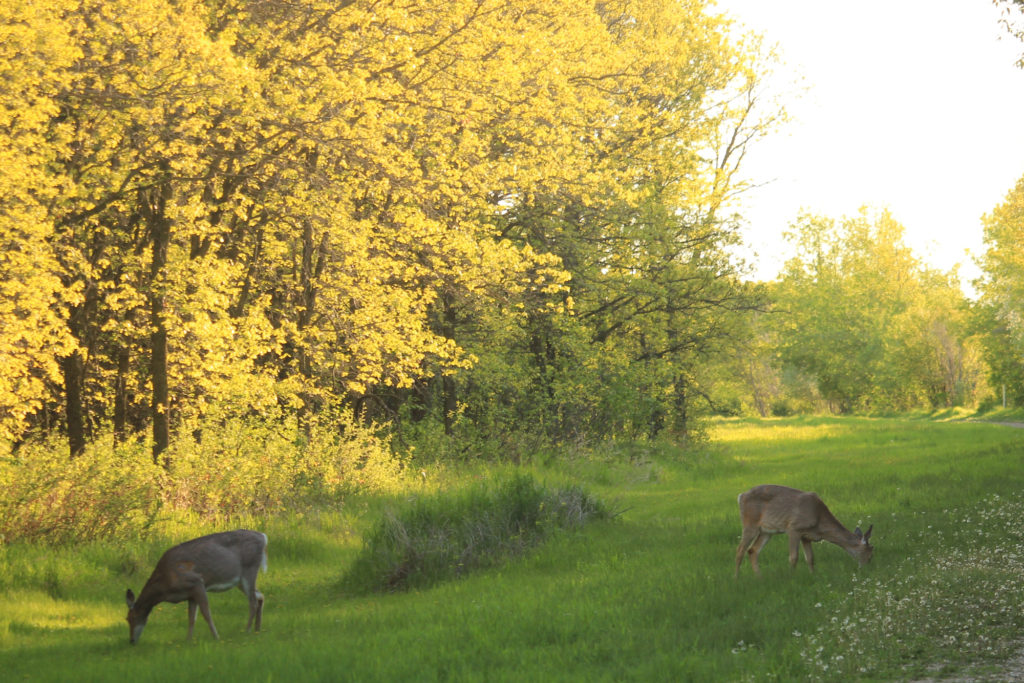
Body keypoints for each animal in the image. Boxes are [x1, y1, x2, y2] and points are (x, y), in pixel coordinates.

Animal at [125, 529, 267, 644]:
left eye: (132, 618)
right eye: (127, 619)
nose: (131, 641)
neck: (165, 587)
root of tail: (263, 537)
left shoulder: (197, 582)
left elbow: (206, 614)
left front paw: (216, 637)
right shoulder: (190, 594)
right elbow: (191, 618)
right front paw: (188, 640)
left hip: (249, 569)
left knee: (253, 602)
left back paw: (247, 630)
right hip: (239, 581)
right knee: (260, 596)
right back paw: (257, 629)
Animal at [735, 485, 873, 577]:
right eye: (871, 552)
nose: (867, 569)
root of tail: (740, 496)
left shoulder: (806, 536)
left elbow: (810, 558)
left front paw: (813, 575)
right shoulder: (793, 528)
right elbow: (793, 557)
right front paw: (792, 577)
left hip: (767, 531)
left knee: (752, 550)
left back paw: (760, 577)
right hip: (749, 523)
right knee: (740, 550)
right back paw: (736, 579)